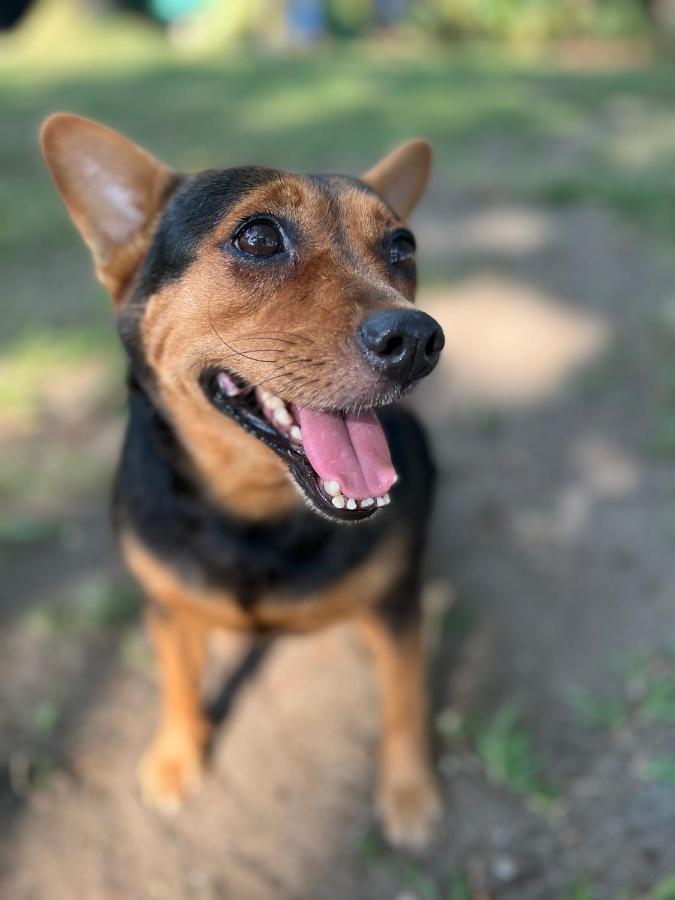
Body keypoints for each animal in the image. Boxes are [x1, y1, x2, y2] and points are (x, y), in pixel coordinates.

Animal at [39, 114, 446, 852]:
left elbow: (405, 695)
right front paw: (176, 757)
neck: (254, 512)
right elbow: (176, 681)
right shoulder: (164, 606)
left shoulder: (397, 606)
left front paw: (409, 792)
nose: (418, 340)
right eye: (258, 237)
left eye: (402, 246)